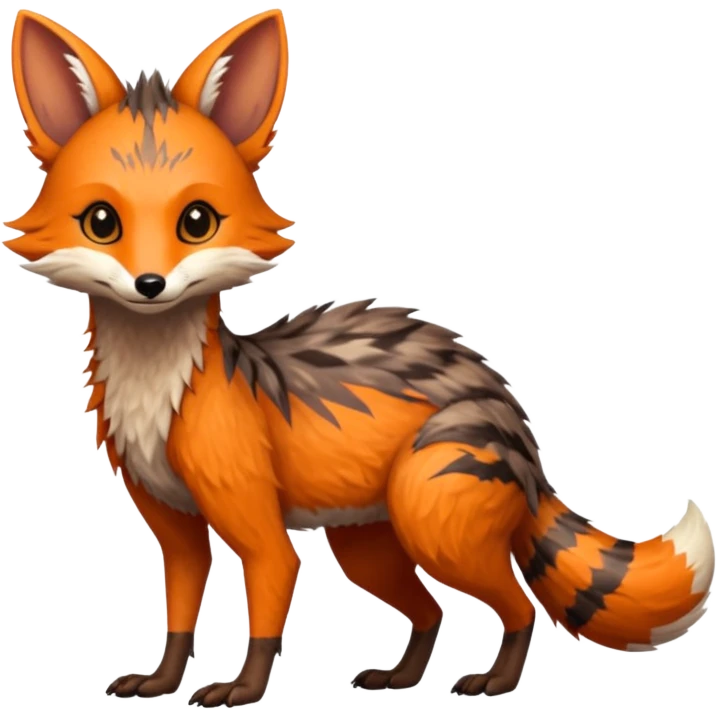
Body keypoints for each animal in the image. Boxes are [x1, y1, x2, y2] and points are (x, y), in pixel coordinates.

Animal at [5, 7, 715, 709]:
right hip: (368, 545)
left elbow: (268, 605)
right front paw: (159, 683)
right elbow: (179, 616)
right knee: (432, 611)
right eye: (102, 222)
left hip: (433, 520)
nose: (149, 285)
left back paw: (494, 682)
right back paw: (401, 678)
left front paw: (243, 689)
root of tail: (514, 423)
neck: (159, 392)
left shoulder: (254, 519)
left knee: (518, 608)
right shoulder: (172, 525)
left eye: (197, 221)